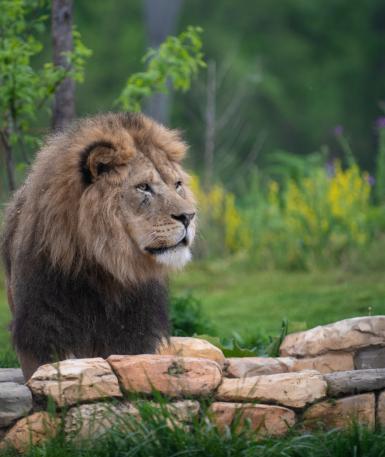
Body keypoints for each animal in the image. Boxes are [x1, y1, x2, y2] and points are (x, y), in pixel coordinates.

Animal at [0, 112, 195, 380]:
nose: (189, 216)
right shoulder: (42, 328)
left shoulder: (134, 331)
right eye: (143, 187)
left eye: (177, 184)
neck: (103, 269)